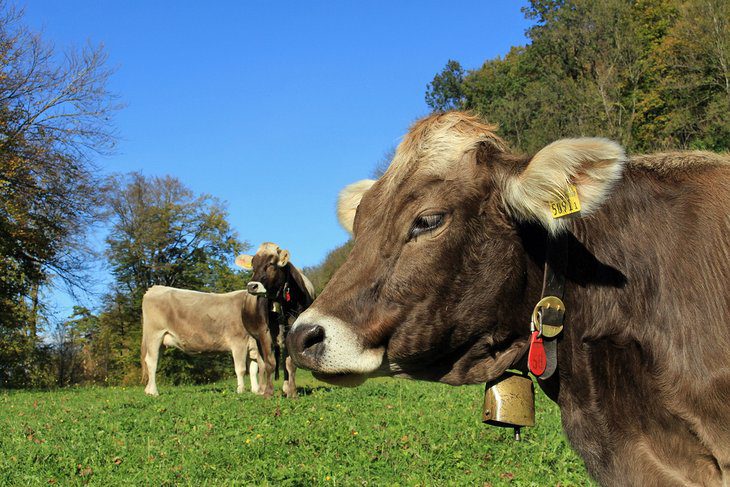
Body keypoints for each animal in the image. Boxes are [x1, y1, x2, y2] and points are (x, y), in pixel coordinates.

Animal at [139, 286, 276, 396]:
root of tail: (154, 288)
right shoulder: (238, 342)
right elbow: (241, 369)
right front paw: (241, 390)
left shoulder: (251, 346)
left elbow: (253, 369)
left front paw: (256, 390)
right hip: (154, 334)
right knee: (151, 361)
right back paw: (154, 392)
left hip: (161, 341)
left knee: (153, 360)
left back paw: (148, 390)